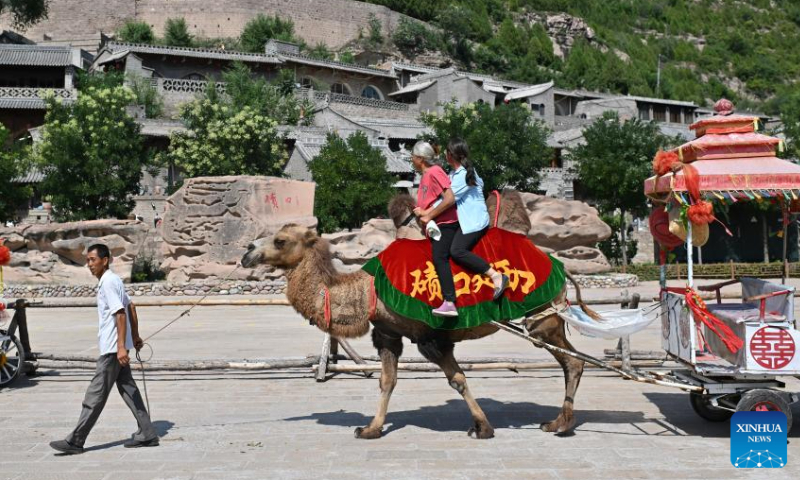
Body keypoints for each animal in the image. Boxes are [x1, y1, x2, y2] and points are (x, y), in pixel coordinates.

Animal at [241, 191, 596, 438]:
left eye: (280, 240)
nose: (247, 252)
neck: (368, 291)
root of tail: (560, 267)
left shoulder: (431, 337)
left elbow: (458, 379)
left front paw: (482, 428)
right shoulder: (388, 333)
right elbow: (387, 381)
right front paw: (370, 429)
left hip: (542, 318)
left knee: (572, 361)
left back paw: (561, 424)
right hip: (547, 319)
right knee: (573, 360)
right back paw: (558, 422)